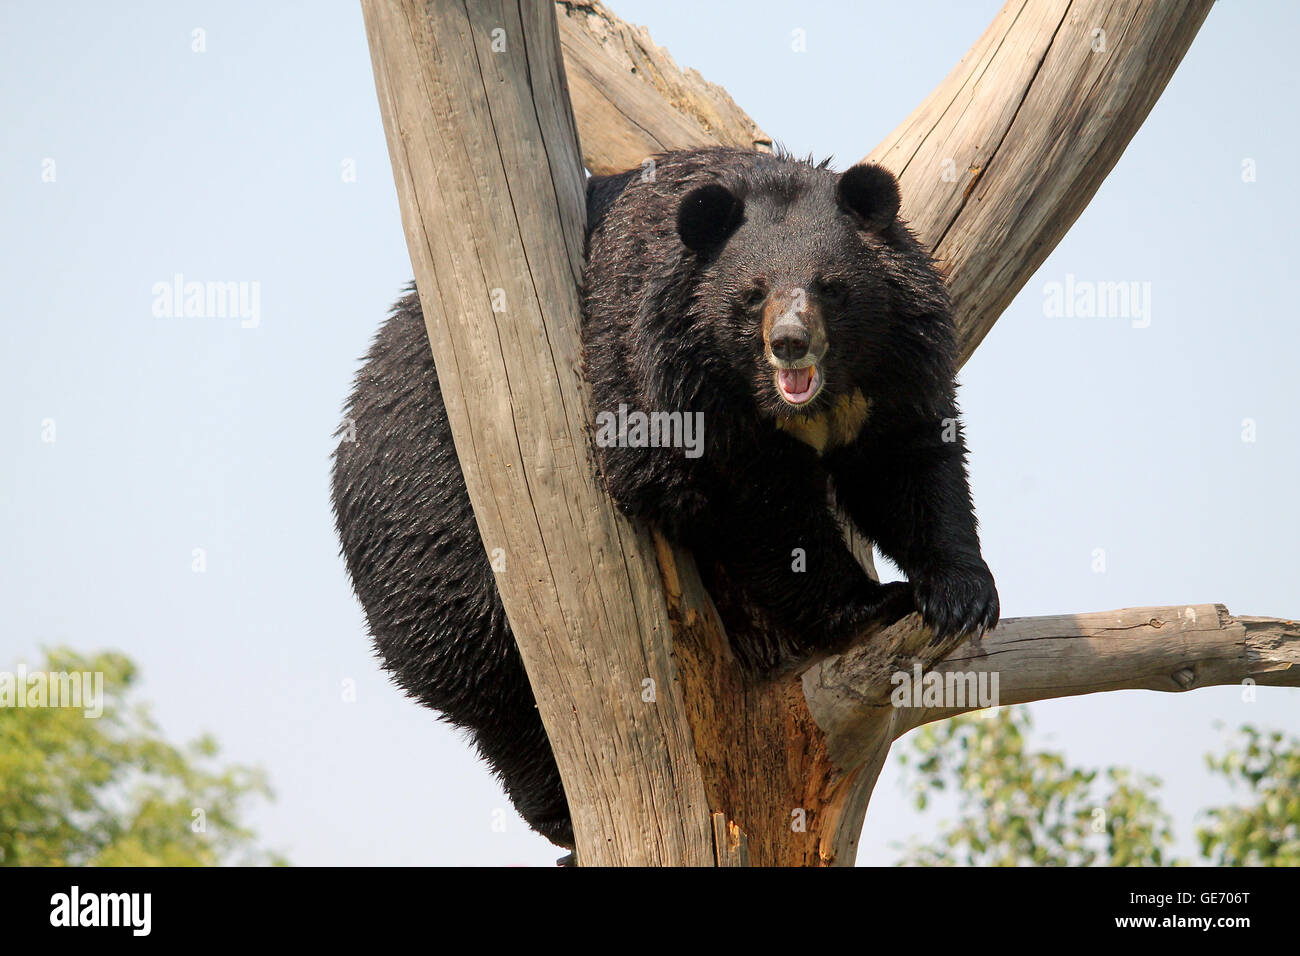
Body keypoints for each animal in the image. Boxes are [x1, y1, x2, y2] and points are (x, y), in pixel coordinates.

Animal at [332, 145, 993, 848]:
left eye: (831, 287)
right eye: (752, 293)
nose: (789, 343)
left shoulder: (896, 366)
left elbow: (908, 464)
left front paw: (961, 595)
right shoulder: (660, 379)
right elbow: (755, 505)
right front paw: (870, 601)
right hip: (442, 541)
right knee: (498, 690)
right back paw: (558, 816)